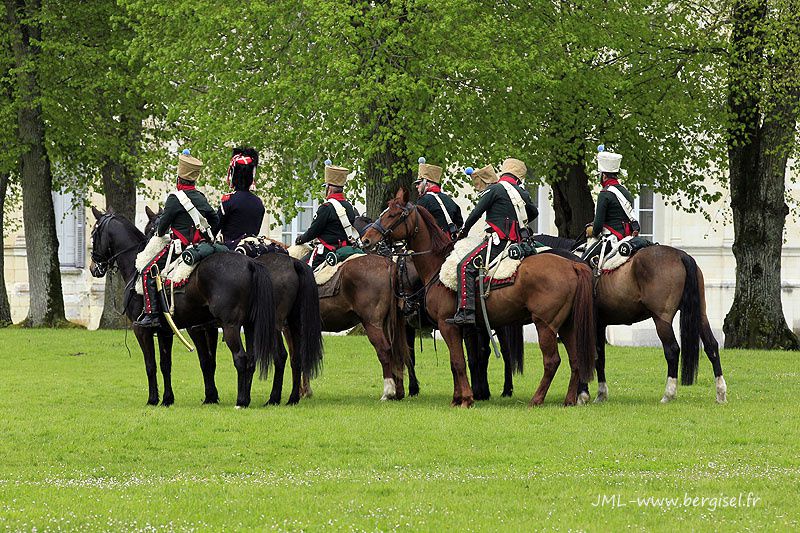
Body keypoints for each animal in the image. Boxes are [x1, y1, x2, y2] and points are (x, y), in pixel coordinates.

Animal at [86, 206, 282, 406]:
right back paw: (250, 398)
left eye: (93, 232)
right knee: (253, 359)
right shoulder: (166, 331)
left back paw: (242, 401)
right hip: (251, 325)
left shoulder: (143, 330)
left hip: (232, 326)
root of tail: (251, 262)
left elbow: (151, 365)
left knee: (243, 358)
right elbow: (167, 365)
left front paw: (153, 399)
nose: (94, 268)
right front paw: (168, 399)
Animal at [142, 208, 324, 404]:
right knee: (295, 356)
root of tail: (293, 261)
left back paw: (270, 398)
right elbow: (210, 360)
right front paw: (213, 396)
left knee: (278, 355)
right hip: (291, 322)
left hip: (272, 324)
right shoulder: (208, 327)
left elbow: (201, 360)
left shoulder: (193, 328)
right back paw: (290, 397)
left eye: (150, 229)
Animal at [360, 191, 596, 408]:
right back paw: (569, 400)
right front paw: (458, 398)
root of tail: (573, 265)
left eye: (392, 214)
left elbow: (459, 362)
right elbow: (459, 361)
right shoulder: (463, 329)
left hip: (545, 325)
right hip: (567, 325)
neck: (437, 265)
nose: (366, 240)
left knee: (552, 361)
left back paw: (537, 399)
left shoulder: (447, 325)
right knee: (576, 359)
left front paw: (466, 398)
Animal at [524, 233, 724, 404]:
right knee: (712, 346)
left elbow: (588, 354)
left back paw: (669, 394)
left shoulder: (588, 324)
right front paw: (600, 394)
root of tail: (681, 255)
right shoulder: (599, 324)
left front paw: (583, 394)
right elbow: (599, 357)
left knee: (672, 350)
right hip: (701, 316)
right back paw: (721, 393)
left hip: (662, 319)